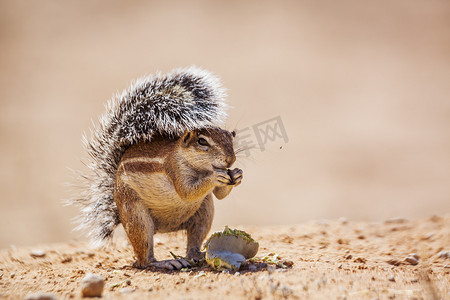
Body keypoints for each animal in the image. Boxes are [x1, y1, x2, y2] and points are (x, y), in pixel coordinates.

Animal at [71, 67, 243, 270]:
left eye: (231, 136)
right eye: (202, 141)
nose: (230, 160)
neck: (199, 168)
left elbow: (219, 194)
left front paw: (237, 175)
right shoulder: (174, 168)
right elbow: (186, 191)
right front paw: (215, 176)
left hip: (204, 212)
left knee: (193, 241)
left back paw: (196, 255)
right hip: (136, 216)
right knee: (143, 259)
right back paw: (166, 262)